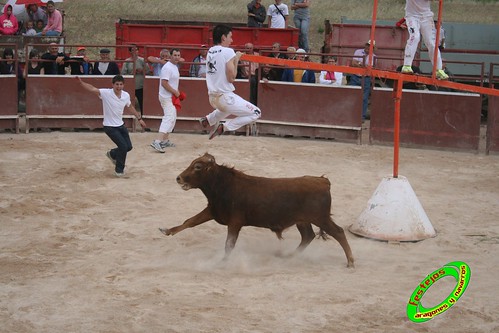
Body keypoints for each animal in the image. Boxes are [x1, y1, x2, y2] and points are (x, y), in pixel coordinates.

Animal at [160, 153, 356, 268]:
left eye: (198, 167)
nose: (178, 178)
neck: (224, 185)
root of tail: (323, 181)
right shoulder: (213, 211)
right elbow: (190, 221)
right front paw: (167, 230)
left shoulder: (235, 222)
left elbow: (229, 244)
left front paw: (222, 262)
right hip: (303, 220)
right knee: (308, 236)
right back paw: (289, 255)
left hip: (320, 218)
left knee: (338, 232)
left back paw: (350, 261)